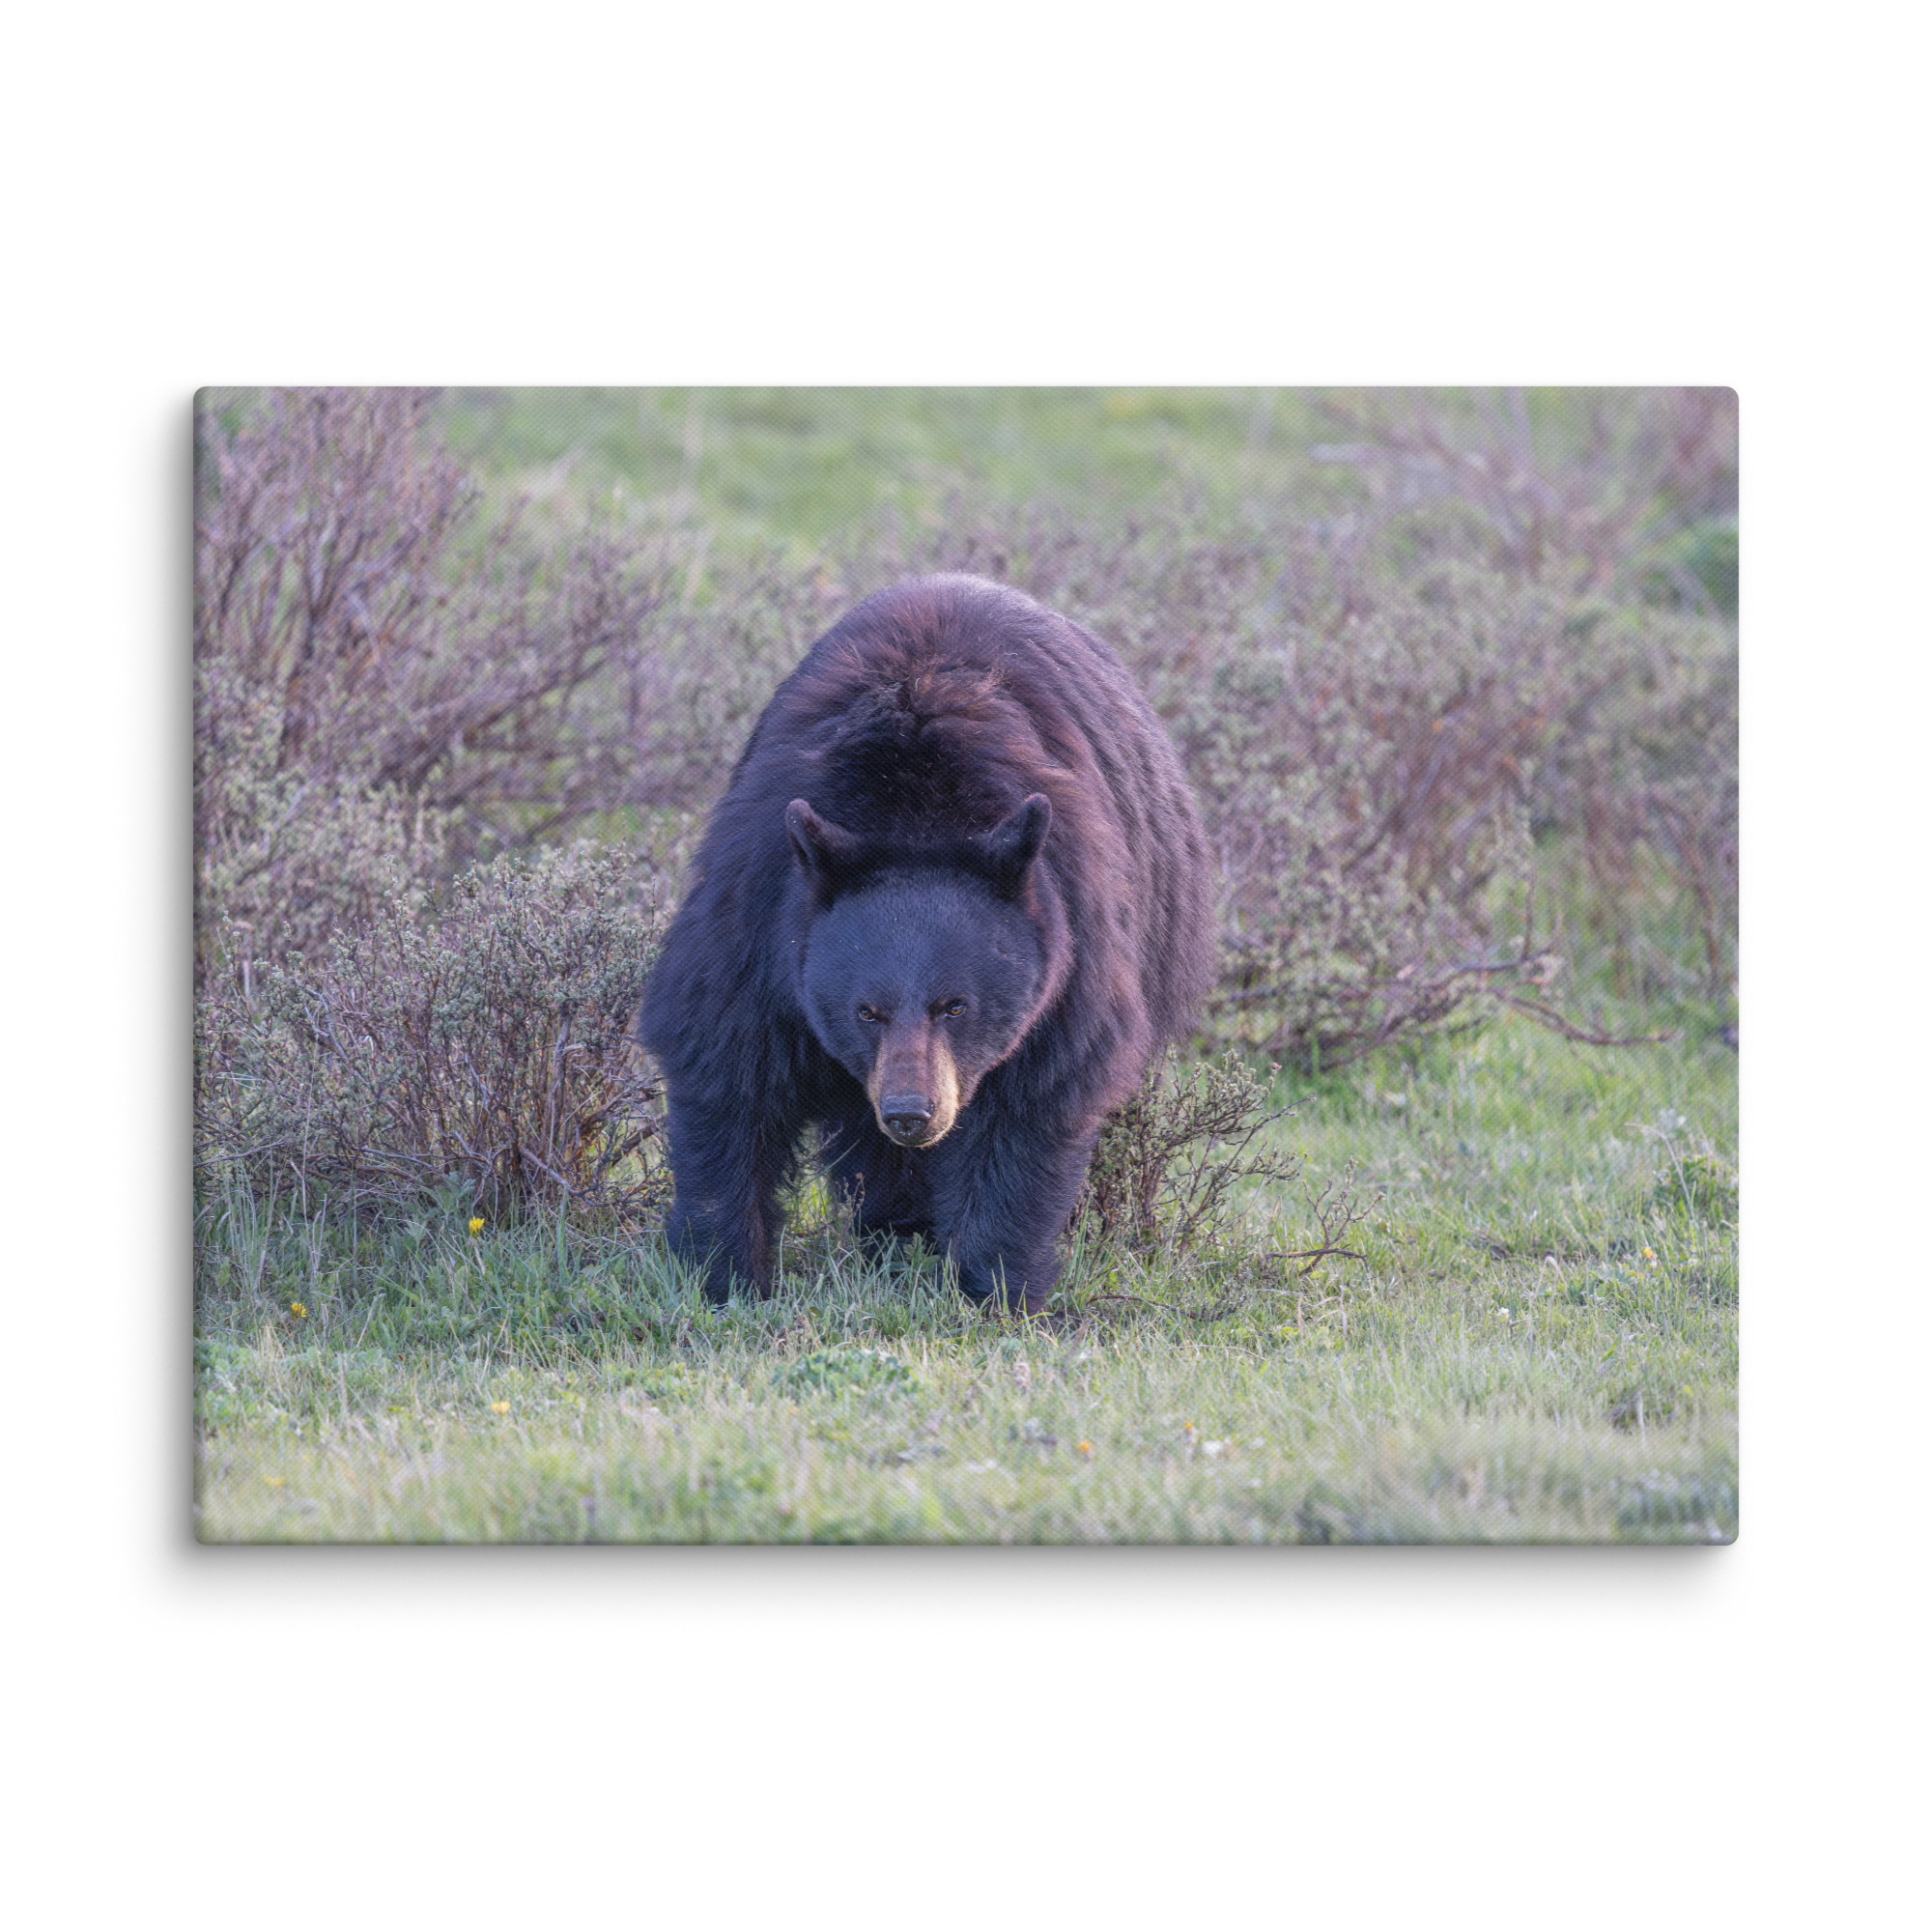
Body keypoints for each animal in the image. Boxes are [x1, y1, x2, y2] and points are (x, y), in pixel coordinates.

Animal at [638, 572, 1214, 1314]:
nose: (912, 1114)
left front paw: (996, 1287)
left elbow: (1031, 1104)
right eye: (866, 1011)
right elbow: (725, 1067)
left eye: (956, 1005)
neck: (913, 810)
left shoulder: (1071, 939)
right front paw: (724, 1274)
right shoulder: (760, 912)